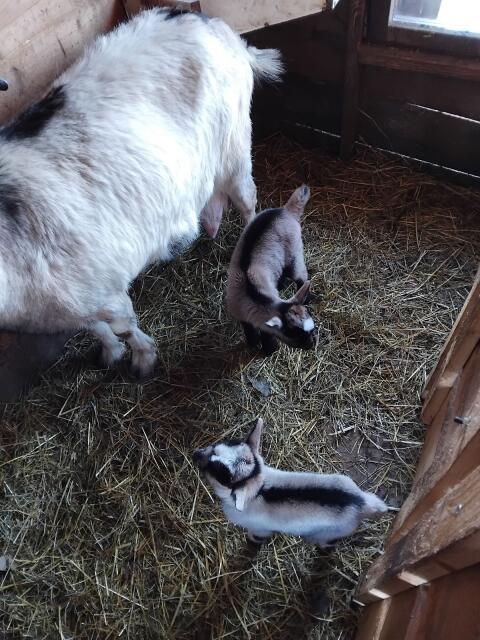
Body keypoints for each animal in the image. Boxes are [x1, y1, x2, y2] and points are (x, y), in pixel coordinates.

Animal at [0, 8, 282, 376]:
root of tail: (219, 28)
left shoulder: (104, 289)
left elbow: (123, 325)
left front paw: (143, 358)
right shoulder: (73, 301)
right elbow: (94, 328)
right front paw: (109, 353)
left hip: (234, 144)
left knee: (248, 201)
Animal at [193, 419, 388, 547]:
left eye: (220, 473)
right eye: (217, 447)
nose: (195, 454)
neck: (260, 489)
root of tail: (361, 503)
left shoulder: (260, 528)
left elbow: (256, 537)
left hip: (330, 533)